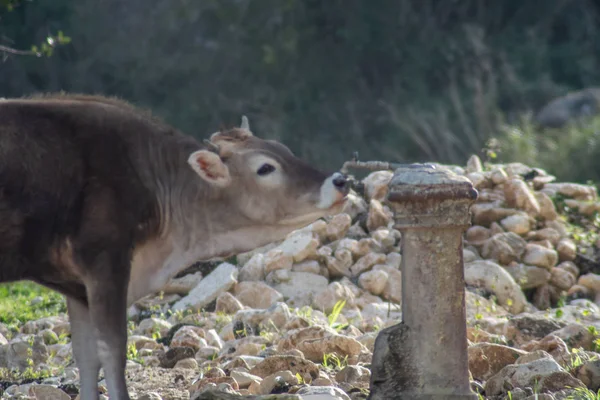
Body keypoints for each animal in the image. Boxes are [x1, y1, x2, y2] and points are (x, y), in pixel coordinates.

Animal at [0, 94, 350, 400]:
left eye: (284, 149)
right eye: (265, 168)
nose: (340, 181)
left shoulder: (77, 286)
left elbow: (86, 356)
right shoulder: (105, 260)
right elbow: (112, 349)